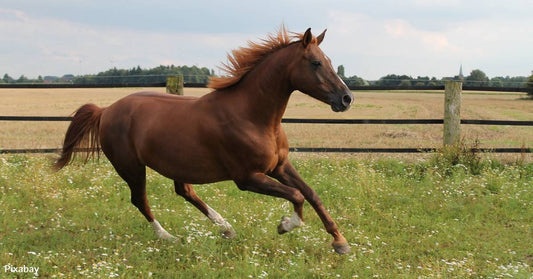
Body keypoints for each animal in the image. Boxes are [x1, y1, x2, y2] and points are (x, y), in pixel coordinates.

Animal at [55, 26, 354, 256]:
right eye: (315, 62)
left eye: (329, 60)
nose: (346, 98)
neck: (252, 116)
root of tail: (106, 110)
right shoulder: (247, 177)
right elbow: (296, 195)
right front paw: (285, 225)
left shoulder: (279, 166)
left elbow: (311, 193)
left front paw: (340, 243)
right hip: (130, 167)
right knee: (140, 200)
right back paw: (169, 237)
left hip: (176, 164)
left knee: (184, 191)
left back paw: (226, 228)